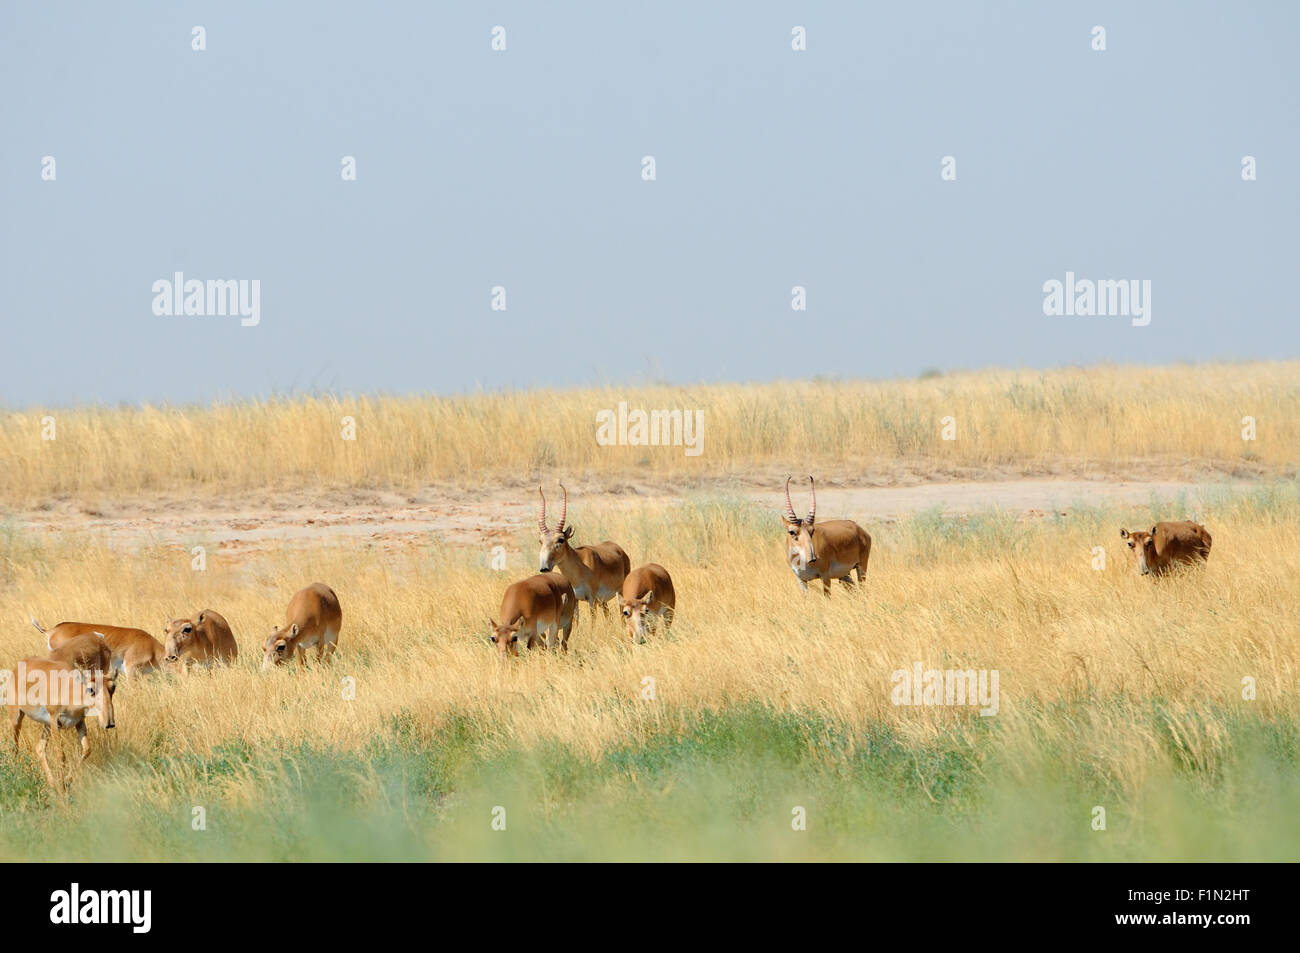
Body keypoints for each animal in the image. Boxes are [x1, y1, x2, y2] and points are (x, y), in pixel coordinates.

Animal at [6, 655, 116, 790]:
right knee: (14, 747)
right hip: (17, 718)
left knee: (39, 748)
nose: (109, 723)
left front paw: (66, 781)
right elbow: (61, 755)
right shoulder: (55, 722)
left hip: (46, 726)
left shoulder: (79, 723)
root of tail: (19, 665)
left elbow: (86, 750)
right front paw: (62, 785)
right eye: (91, 689)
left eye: (113, 687)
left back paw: (52, 783)